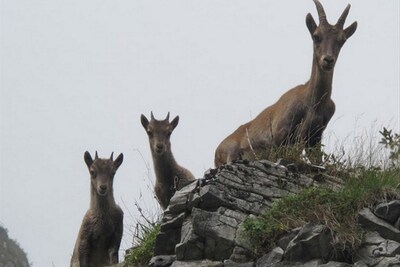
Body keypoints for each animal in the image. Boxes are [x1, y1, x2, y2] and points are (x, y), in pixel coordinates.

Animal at [214, 0, 358, 168]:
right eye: (316, 36)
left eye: (342, 40)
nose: (328, 60)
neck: (312, 103)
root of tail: (216, 151)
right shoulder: (282, 136)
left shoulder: (314, 139)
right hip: (231, 151)